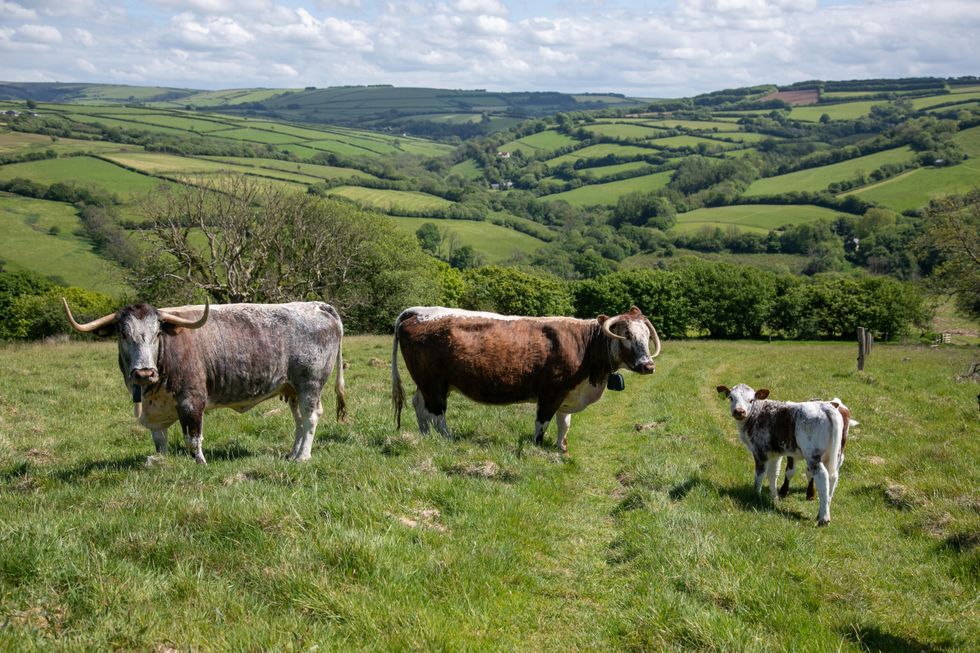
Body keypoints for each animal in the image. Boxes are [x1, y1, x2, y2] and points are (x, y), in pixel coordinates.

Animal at [63, 299, 346, 464]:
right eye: (123, 334)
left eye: (156, 334)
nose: (144, 373)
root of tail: (318, 305)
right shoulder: (157, 411)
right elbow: (160, 442)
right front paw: (161, 463)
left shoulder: (191, 401)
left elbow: (193, 438)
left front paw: (200, 464)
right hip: (292, 388)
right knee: (299, 421)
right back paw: (292, 453)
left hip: (310, 384)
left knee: (310, 417)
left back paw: (303, 457)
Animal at [391, 306, 661, 453]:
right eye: (626, 335)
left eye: (646, 335)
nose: (648, 365)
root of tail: (419, 311)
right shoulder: (551, 393)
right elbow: (542, 423)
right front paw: (537, 448)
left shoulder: (568, 395)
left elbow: (564, 424)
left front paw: (562, 449)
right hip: (434, 382)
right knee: (437, 414)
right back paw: (447, 440)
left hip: (428, 383)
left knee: (420, 406)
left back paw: (425, 436)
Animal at [716, 383, 845, 526]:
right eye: (731, 398)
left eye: (751, 400)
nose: (739, 411)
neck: (758, 413)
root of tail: (825, 407)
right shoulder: (775, 454)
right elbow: (773, 474)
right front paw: (774, 497)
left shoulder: (760, 452)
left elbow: (760, 475)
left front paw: (756, 495)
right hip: (834, 454)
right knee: (833, 477)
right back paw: (821, 513)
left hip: (813, 456)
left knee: (823, 476)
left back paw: (824, 519)